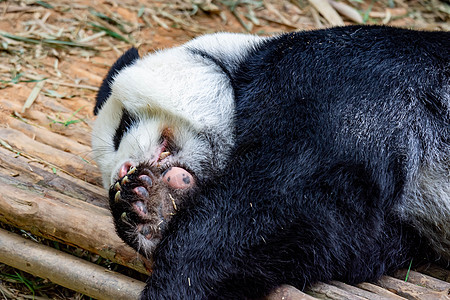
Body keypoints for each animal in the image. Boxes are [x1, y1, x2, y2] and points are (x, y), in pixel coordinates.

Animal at [92, 25, 450, 298]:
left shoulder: (343, 81)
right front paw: (149, 205)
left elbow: (282, 196)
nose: (123, 171)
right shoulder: (402, 229)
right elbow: (340, 239)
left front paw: (176, 284)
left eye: (123, 124)